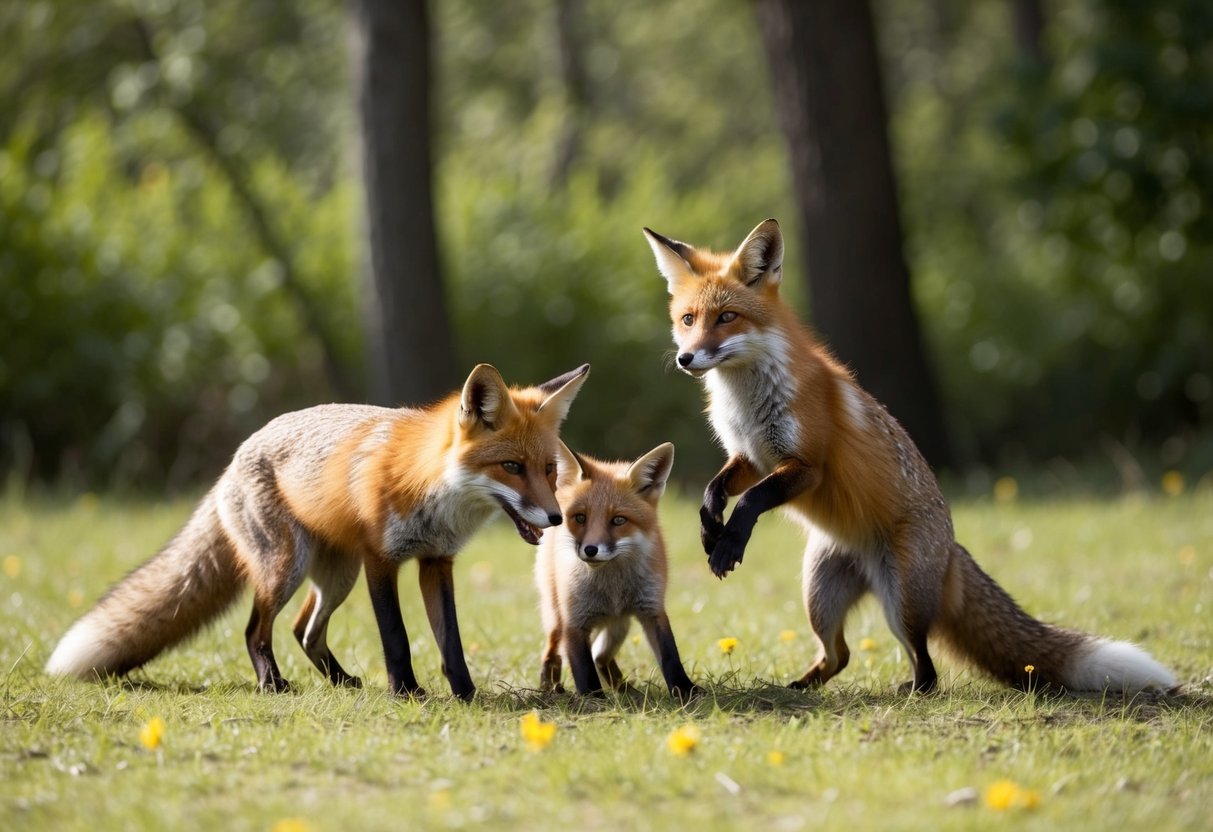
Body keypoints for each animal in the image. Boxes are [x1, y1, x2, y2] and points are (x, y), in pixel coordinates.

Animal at [45, 363, 590, 701]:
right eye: (511, 467)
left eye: (548, 469)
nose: (556, 519)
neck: (432, 489)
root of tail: (236, 457)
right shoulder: (380, 559)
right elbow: (396, 637)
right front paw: (407, 693)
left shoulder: (436, 562)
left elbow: (449, 641)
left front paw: (465, 693)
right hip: (286, 567)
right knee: (256, 630)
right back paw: (272, 683)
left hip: (335, 576)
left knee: (303, 630)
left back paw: (342, 681)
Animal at [535, 442, 699, 701]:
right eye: (580, 517)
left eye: (619, 520)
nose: (591, 550)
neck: (612, 587)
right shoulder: (574, 620)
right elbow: (583, 667)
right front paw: (593, 699)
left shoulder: (652, 608)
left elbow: (670, 655)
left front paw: (686, 690)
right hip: (556, 617)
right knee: (552, 652)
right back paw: (551, 688)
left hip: (619, 625)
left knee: (600, 656)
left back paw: (625, 689)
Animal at [643, 218, 1176, 695]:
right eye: (688, 321)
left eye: (726, 318)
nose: (685, 359)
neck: (747, 401)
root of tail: (952, 548)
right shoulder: (751, 456)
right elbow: (717, 487)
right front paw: (710, 526)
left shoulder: (807, 466)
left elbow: (753, 500)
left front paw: (730, 543)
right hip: (819, 595)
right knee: (840, 655)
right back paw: (799, 686)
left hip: (901, 603)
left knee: (927, 666)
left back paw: (914, 690)